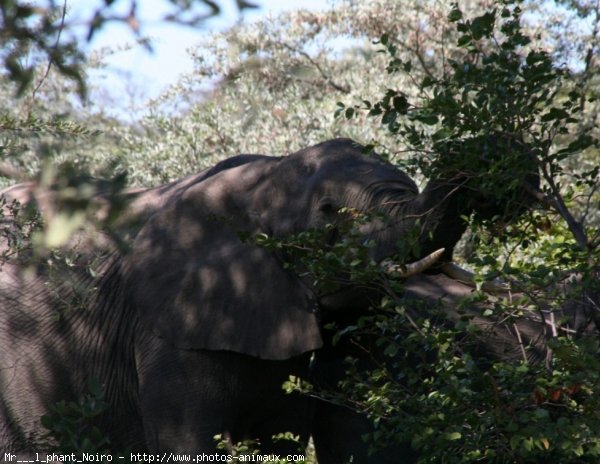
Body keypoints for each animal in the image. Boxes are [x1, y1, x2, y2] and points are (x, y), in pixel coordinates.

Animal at [0, 136, 540, 454]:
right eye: (328, 213)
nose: (494, 149)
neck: (259, 180)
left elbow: (283, 436)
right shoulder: (170, 323)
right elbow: (187, 440)